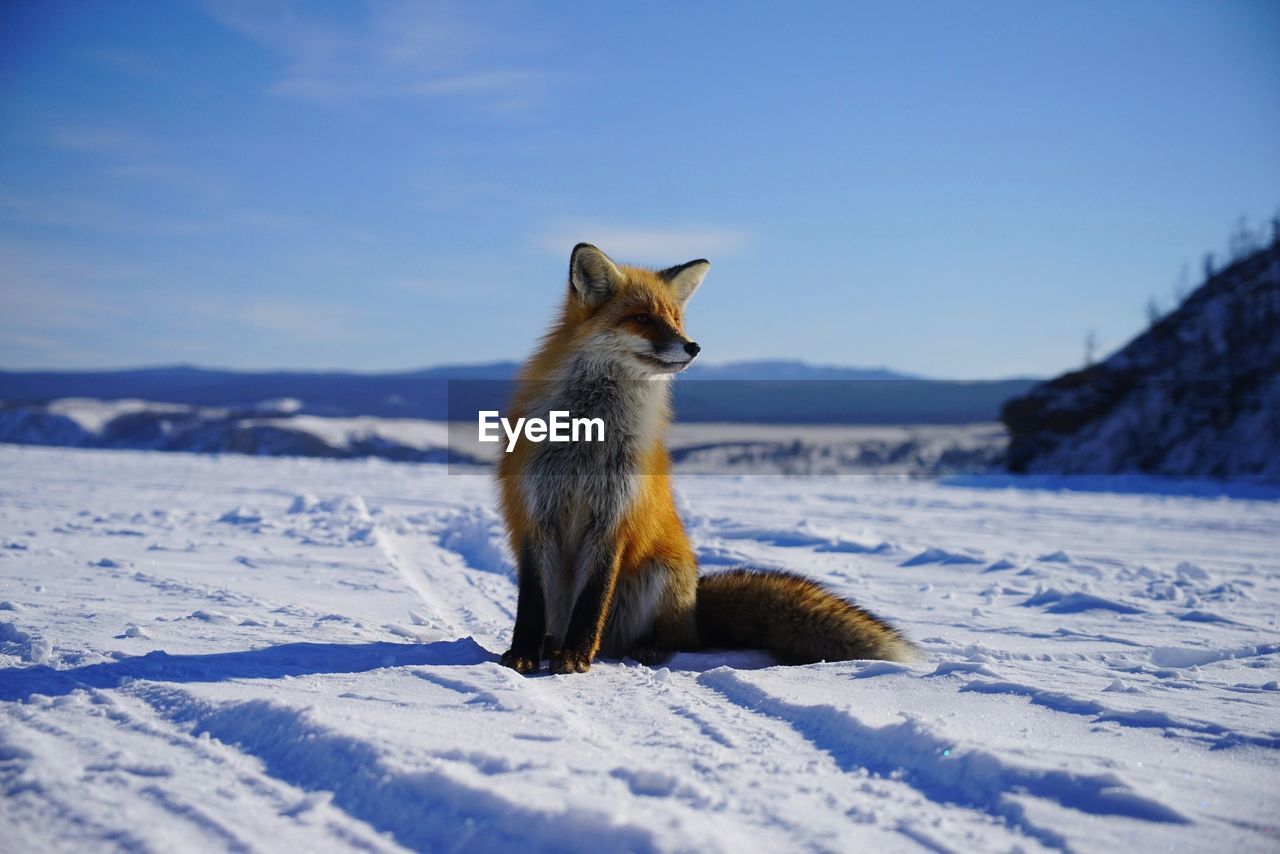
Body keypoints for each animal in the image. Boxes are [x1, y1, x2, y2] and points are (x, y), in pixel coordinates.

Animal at [494, 241, 916, 676]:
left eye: (675, 319)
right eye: (641, 318)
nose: (693, 346)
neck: (587, 438)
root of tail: (695, 607)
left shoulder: (614, 517)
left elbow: (592, 600)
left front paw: (576, 658)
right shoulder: (535, 512)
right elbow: (531, 602)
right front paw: (523, 654)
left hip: (659, 574)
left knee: (673, 640)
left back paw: (640, 648)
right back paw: (551, 645)